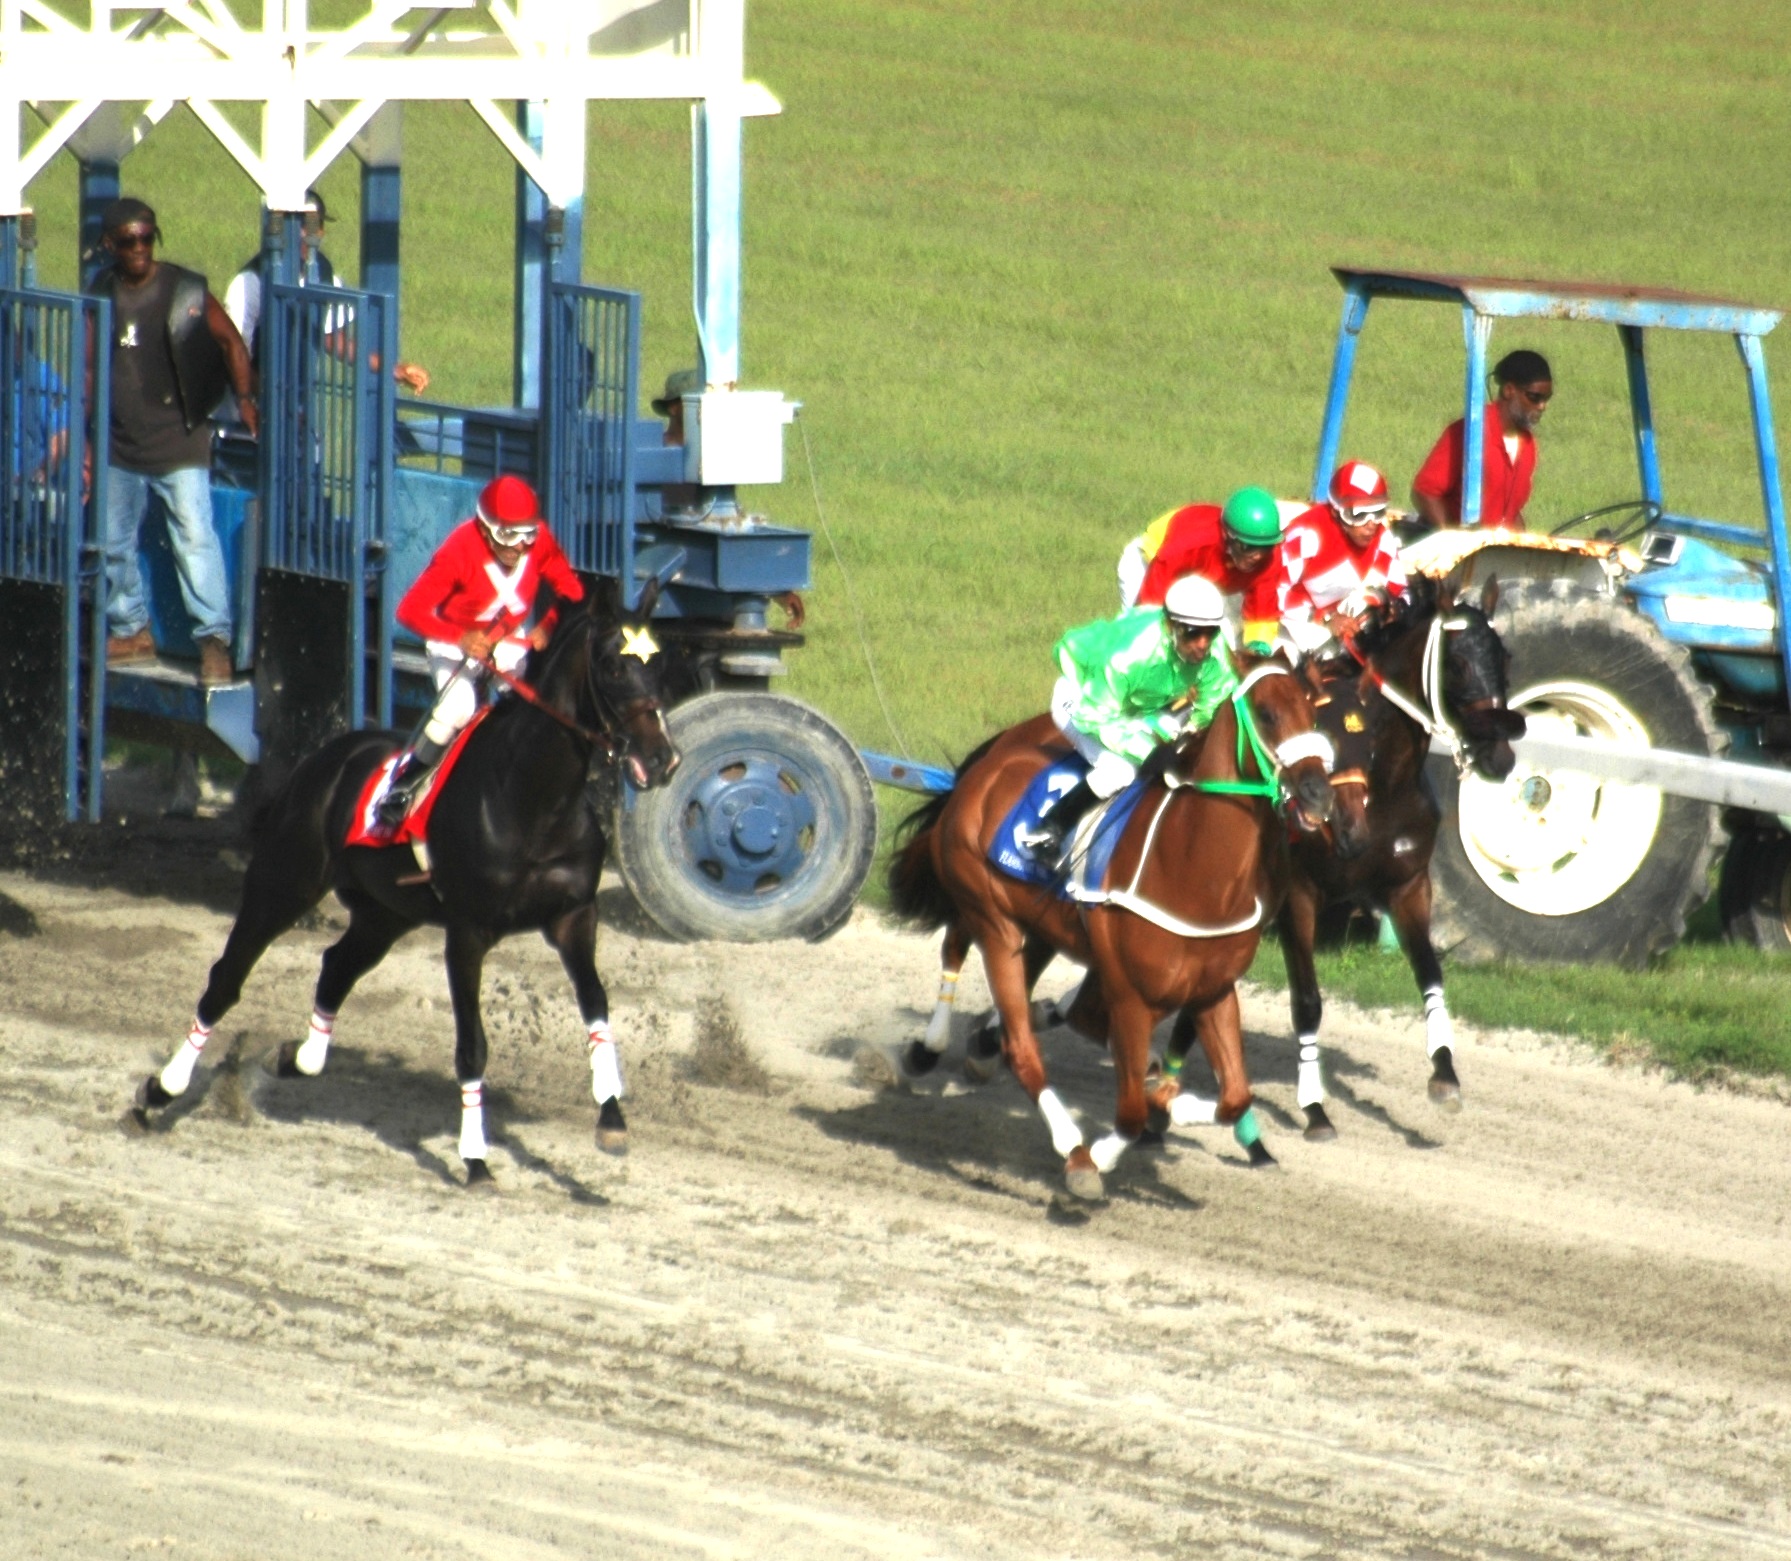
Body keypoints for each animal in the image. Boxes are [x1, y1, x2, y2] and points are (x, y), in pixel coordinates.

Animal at [130, 590, 676, 1188]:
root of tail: (329, 755)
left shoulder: (574, 915)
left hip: (384, 913)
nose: (662, 759)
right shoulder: (467, 932)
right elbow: (472, 1046)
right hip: (284, 881)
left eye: (660, 664)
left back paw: (295, 1058)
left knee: (335, 966)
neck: (532, 798)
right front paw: (475, 1158)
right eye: (613, 666)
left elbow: (597, 1008)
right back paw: (160, 1092)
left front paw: (612, 1118)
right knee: (227, 978)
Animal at [888, 651, 1346, 1202]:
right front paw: (1106, 1151)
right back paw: (1065, 1142)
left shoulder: (1213, 990)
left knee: (981, 961)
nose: (1318, 795)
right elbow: (1127, 1111)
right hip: (994, 922)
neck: (1191, 865)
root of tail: (985, 767)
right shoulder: (1130, 995)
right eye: (1267, 713)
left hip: (1036, 922)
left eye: (1313, 711)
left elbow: (1234, 1096)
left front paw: (1169, 1103)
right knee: (1016, 1039)